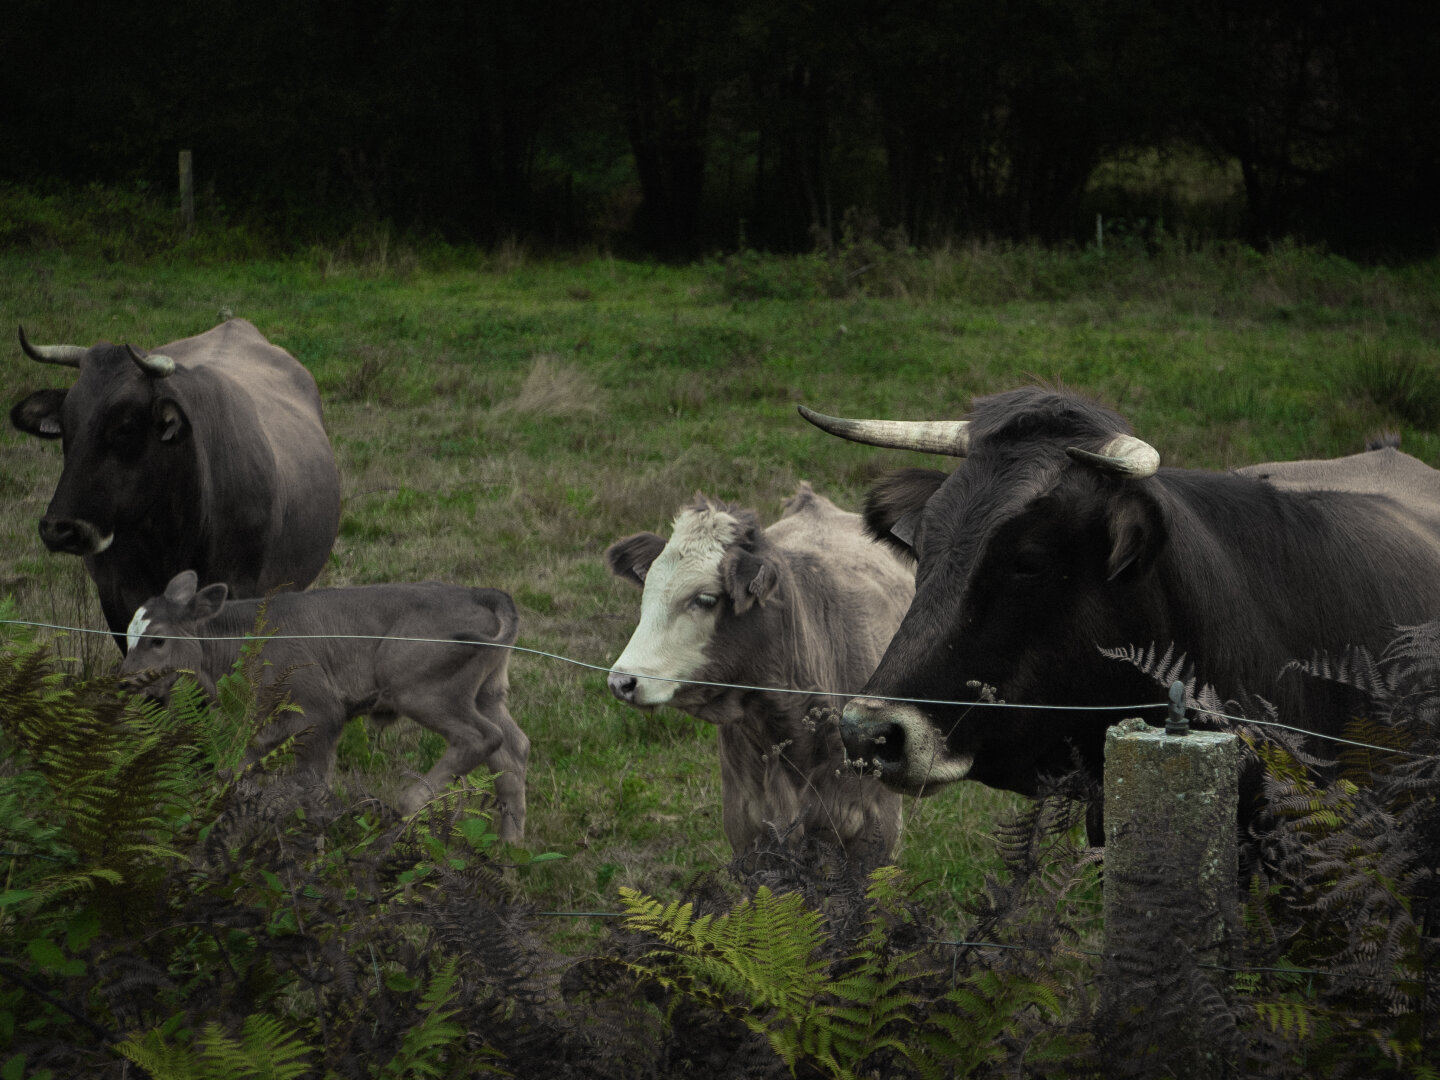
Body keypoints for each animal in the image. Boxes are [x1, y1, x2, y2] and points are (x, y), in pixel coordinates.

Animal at [119, 571, 529, 842]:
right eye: (127, 634)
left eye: (158, 640)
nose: (123, 680)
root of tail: (477, 593)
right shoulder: (263, 725)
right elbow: (233, 777)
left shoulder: (321, 713)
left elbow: (312, 791)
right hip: (487, 692)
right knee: (513, 751)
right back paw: (509, 852)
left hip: (422, 690)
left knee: (481, 738)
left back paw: (409, 805)